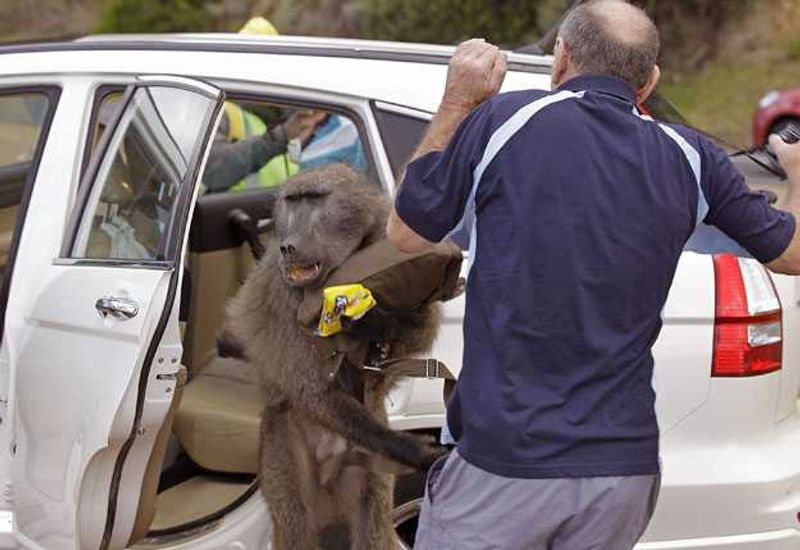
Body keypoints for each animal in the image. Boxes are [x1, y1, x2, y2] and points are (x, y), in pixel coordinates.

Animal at [223, 164, 445, 550]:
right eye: (292, 201)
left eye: (314, 200)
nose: (288, 246)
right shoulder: (281, 291)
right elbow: (311, 390)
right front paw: (410, 449)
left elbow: (422, 329)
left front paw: (377, 322)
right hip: (285, 448)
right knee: (296, 525)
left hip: (365, 465)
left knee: (371, 524)